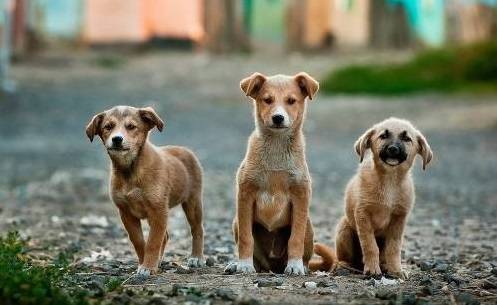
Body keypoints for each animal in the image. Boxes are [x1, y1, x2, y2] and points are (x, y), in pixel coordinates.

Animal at [85, 105, 203, 276]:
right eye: (108, 127)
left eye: (131, 127)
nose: (117, 139)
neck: (130, 171)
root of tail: (184, 149)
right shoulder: (126, 213)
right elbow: (139, 241)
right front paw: (144, 263)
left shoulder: (158, 210)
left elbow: (153, 241)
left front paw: (148, 267)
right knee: (165, 236)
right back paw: (159, 261)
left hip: (193, 201)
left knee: (197, 229)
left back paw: (196, 257)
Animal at [226, 72, 322, 274]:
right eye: (267, 100)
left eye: (291, 101)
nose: (278, 118)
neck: (276, 148)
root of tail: (273, 266)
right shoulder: (245, 195)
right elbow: (246, 238)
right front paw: (244, 265)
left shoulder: (301, 195)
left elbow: (296, 238)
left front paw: (295, 265)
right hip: (236, 222)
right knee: (257, 258)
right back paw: (239, 264)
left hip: (309, 226)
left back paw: (301, 265)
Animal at [310, 117, 430, 278]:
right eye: (383, 136)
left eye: (406, 139)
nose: (393, 149)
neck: (389, 181)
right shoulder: (363, 215)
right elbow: (370, 245)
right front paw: (372, 269)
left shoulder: (399, 219)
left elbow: (394, 248)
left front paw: (396, 270)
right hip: (344, 228)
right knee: (343, 259)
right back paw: (345, 267)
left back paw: (384, 266)